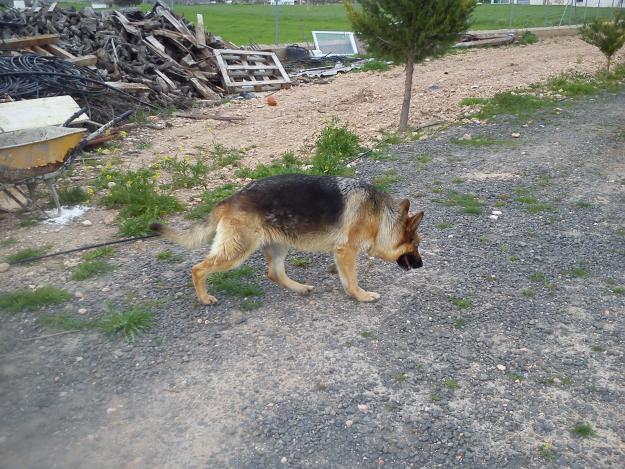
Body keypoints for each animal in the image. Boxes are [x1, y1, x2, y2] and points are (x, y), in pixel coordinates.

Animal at [150, 173, 424, 304]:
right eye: (416, 245)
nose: (422, 265)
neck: (381, 218)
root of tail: (231, 198)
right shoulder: (346, 252)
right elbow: (352, 280)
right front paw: (362, 296)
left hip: (279, 246)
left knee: (274, 273)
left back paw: (300, 287)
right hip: (238, 251)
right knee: (198, 268)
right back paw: (204, 298)